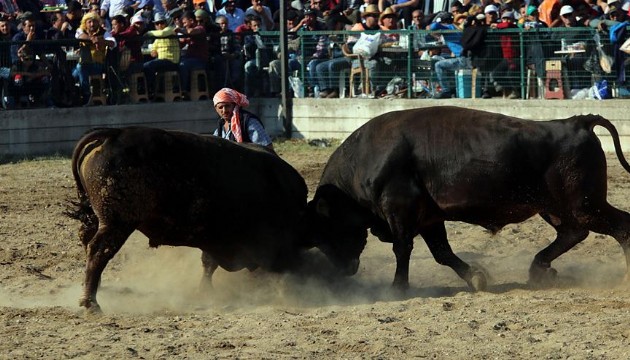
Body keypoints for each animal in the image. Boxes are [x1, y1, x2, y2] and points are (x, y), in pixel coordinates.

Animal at [69, 127, 312, 312]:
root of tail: (115, 134)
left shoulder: (213, 239)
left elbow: (208, 264)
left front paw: (205, 292)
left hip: (96, 219)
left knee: (87, 242)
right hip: (117, 224)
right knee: (99, 251)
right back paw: (91, 303)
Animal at [308, 106, 630, 290]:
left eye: (327, 230)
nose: (344, 271)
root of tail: (576, 122)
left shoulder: (400, 211)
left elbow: (402, 248)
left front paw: (398, 287)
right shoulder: (429, 219)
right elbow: (442, 253)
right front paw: (475, 276)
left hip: (584, 205)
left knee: (620, 227)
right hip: (556, 208)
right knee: (572, 233)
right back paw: (539, 269)